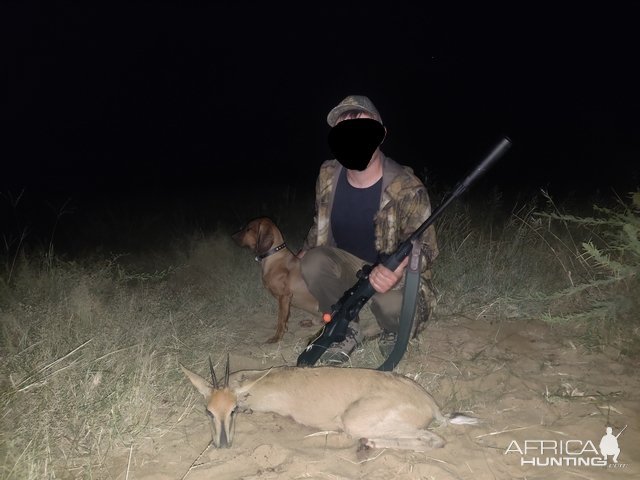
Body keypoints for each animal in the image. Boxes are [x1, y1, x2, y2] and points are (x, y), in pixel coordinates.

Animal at [180, 358, 476, 452]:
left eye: (232, 411)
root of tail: (431, 405)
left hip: (355, 420)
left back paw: (368, 443)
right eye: (208, 411)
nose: (222, 444)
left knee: (435, 439)